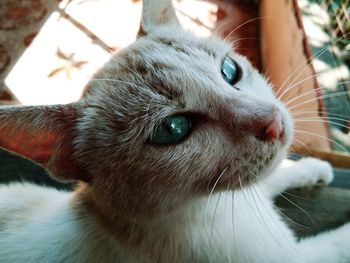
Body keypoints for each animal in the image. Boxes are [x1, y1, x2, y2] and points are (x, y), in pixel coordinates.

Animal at [0, 0, 350, 263]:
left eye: (229, 70)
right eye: (173, 128)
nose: (274, 123)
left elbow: (273, 177)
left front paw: (314, 167)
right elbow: (336, 244)